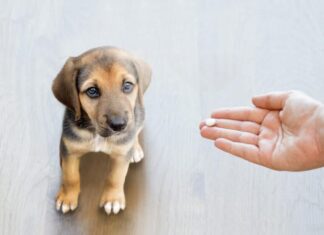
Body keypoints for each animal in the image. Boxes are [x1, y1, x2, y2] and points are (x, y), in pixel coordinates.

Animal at [52, 46, 152, 216]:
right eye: (92, 91)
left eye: (127, 86)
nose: (119, 125)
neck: (97, 134)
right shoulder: (69, 150)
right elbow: (70, 177)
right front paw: (67, 198)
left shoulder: (120, 155)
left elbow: (115, 177)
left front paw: (112, 200)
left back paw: (135, 149)